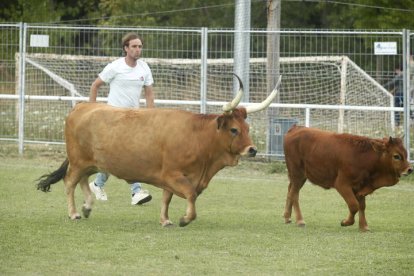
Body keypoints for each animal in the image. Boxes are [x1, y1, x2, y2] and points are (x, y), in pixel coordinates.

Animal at [37, 75, 284, 226]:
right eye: (234, 129)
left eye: (247, 128)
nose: (252, 150)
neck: (197, 137)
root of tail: (82, 106)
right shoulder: (173, 175)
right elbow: (190, 195)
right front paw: (185, 219)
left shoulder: (170, 178)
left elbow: (167, 198)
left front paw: (165, 220)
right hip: (78, 161)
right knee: (70, 182)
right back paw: (74, 212)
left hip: (91, 162)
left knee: (83, 181)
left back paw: (88, 207)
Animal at [284, 125, 412, 231]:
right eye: (396, 156)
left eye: (405, 154)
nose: (410, 169)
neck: (363, 156)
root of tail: (295, 128)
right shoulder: (342, 185)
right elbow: (354, 205)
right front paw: (346, 222)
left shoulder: (361, 186)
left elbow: (362, 206)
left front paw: (364, 226)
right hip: (298, 175)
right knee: (294, 194)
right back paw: (300, 220)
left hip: (298, 177)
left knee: (290, 191)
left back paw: (287, 217)